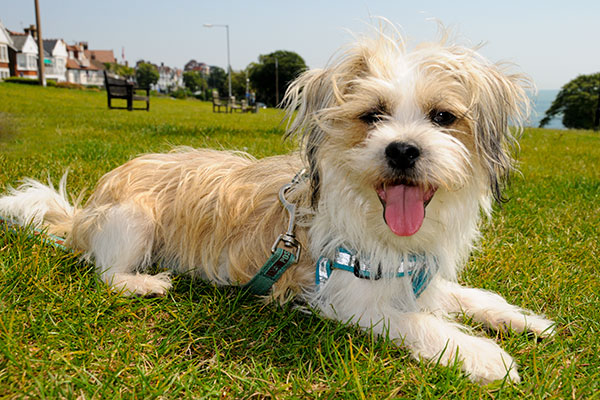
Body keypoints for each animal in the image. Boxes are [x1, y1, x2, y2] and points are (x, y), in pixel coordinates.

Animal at [0, 28, 552, 384]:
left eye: (443, 117)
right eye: (372, 115)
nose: (402, 150)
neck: (388, 233)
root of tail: (80, 215)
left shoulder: (417, 277)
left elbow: (468, 298)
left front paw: (524, 320)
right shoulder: (348, 294)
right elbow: (420, 323)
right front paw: (485, 356)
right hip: (132, 218)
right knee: (108, 273)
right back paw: (145, 282)